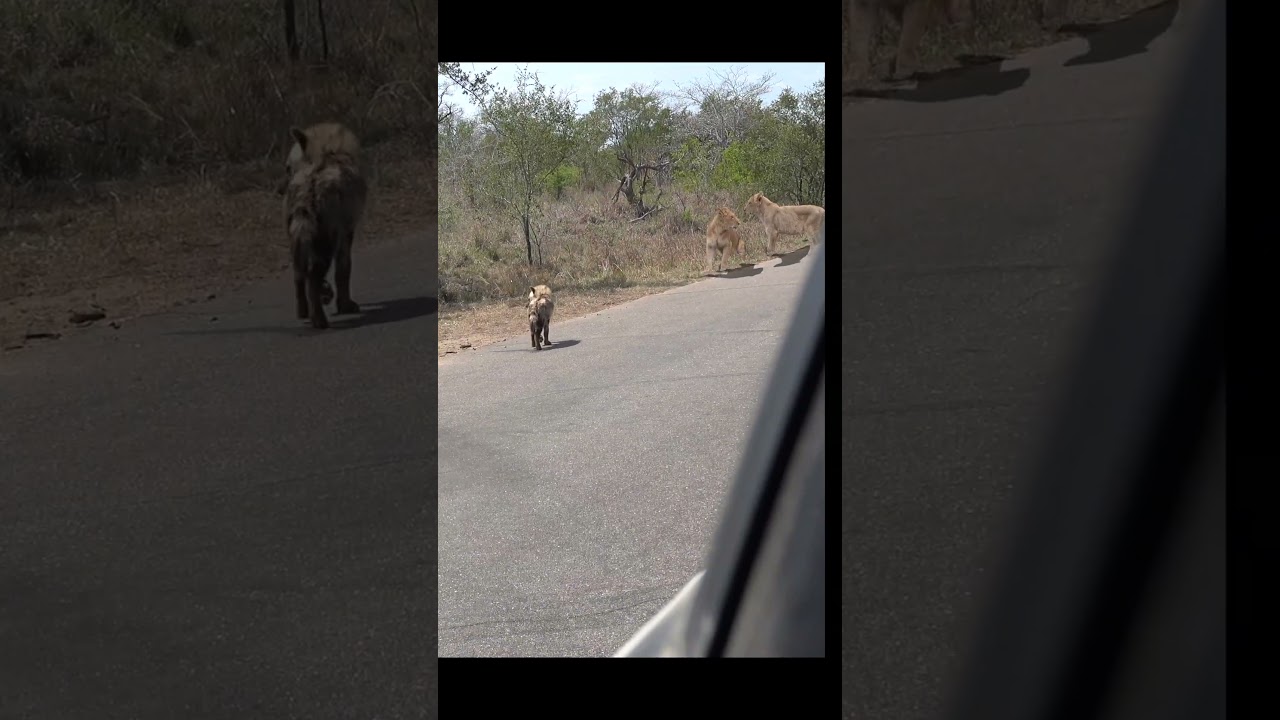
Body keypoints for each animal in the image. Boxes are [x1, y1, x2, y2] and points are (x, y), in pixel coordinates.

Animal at [283, 123, 368, 330]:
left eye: (287, 168)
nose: (280, 189)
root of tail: (307, 189)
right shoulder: (346, 230)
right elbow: (344, 269)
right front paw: (346, 305)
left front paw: (328, 294)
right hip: (325, 239)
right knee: (312, 275)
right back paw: (319, 320)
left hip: (298, 236)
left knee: (299, 273)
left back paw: (304, 312)